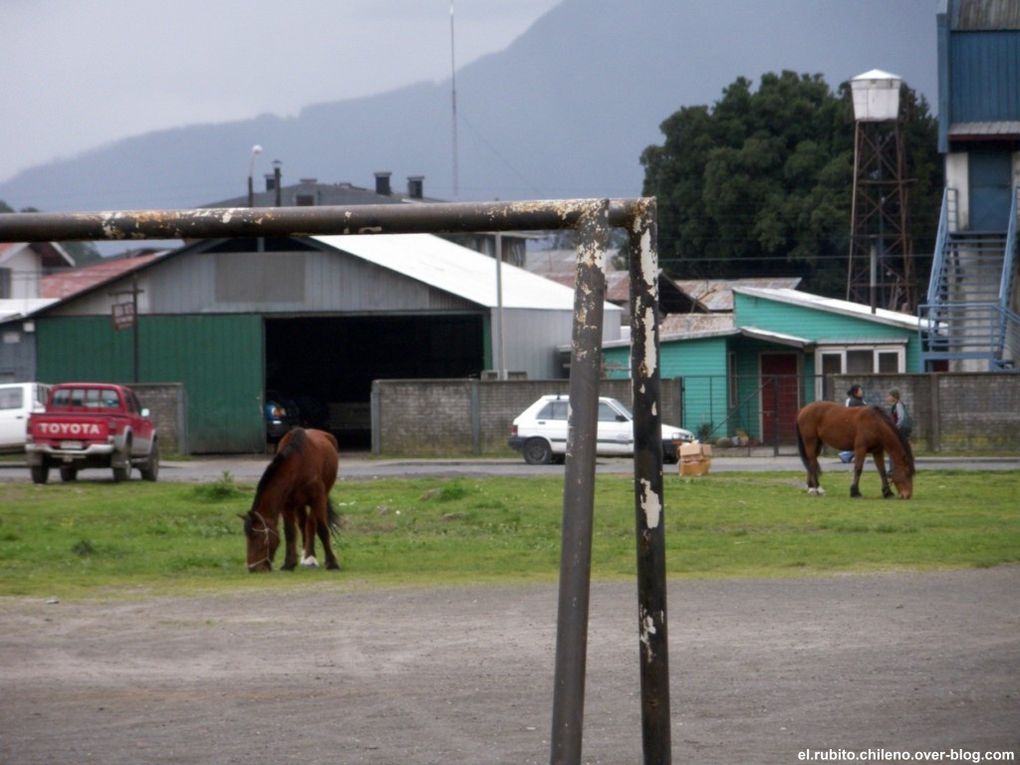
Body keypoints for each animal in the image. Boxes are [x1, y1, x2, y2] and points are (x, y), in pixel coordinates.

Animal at [242, 428, 342, 571]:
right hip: (299, 504)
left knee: (311, 522)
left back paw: (310, 558)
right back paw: (307, 556)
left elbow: (322, 529)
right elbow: (289, 532)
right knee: (303, 524)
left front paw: (332, 563)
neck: (298, 464)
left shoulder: (318, 499)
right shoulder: (286, 504)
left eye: (257, 536)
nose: (253, 568)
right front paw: (289, 563)